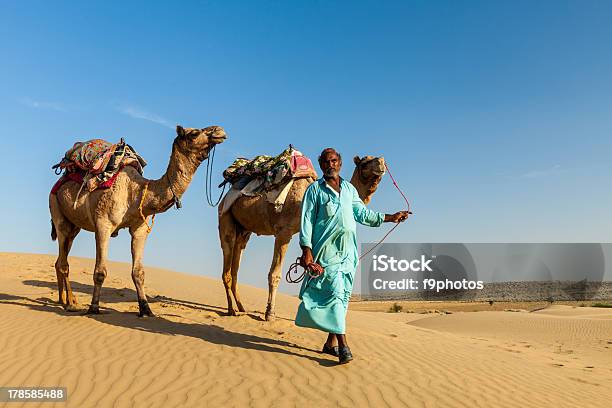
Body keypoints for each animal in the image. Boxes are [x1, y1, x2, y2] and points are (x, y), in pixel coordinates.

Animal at [49, 126, 227, 318]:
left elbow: (139, 272)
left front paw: (146, 309)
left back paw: (65, 300)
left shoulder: (139, 228)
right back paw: (70, 304)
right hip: (57, 211)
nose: (220, 131)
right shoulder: (103, 224)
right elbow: (100, 272)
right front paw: (94, 307)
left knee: (60, 259)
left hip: (74, 226)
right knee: (64, 261)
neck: (136, 191)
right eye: (194, 133)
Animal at [218, 155, 384, 320]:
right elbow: (275, 274)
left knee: (237, 261)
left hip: (244, 230)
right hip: (225, 216)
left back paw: (241, 307)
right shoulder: (283, 232)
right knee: (227, 258)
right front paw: (270, 313)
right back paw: (231, 310)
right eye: (365, 162)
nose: (381, 162)